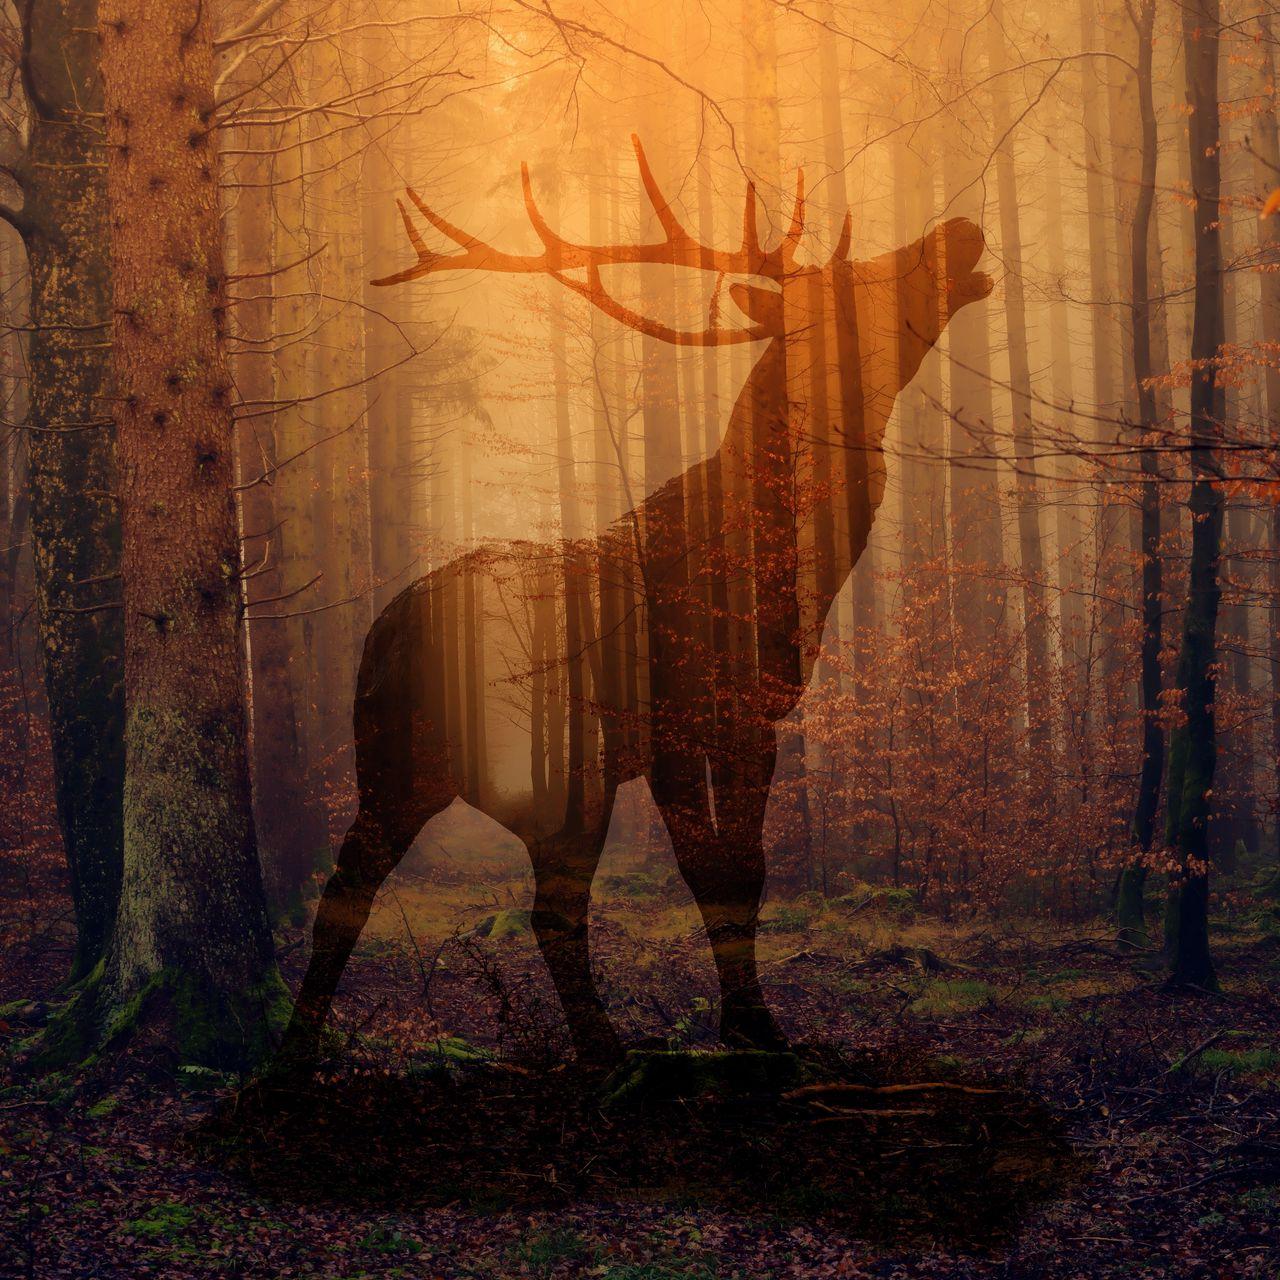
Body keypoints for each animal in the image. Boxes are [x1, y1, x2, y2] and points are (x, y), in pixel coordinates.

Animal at [280, 138, 992, 1068]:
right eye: (860, 280)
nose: (963, 226)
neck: (774, 563)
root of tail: (384, 633)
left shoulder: (747, 717)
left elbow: (741, 875)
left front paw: (747, 1023)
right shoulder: (692, 717)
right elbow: (723, 873)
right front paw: (754, 1031)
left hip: (405, 764)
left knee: (383, 890)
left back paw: (303, 1052)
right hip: (536, 766)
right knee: (517, 903)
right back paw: (597, 1052)